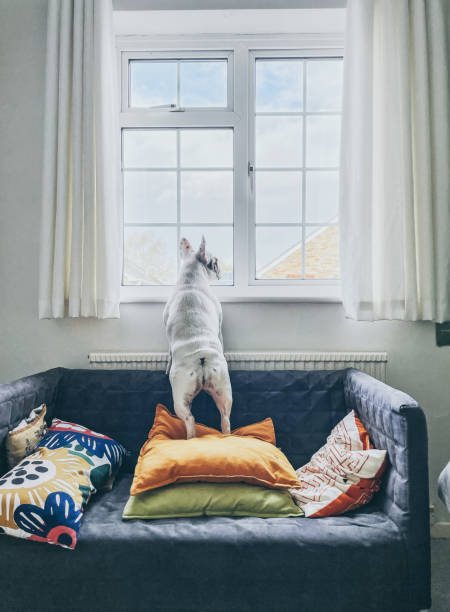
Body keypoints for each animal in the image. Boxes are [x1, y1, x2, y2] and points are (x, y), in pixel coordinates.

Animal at [163, 235, 232, 440]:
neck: (191, 279)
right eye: (215, 262)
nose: (220, 268)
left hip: (180, 397)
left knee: (190, 420)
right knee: (225, 418)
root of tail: (201, 360)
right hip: (223, 390)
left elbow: (168, 353)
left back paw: (190, 438)